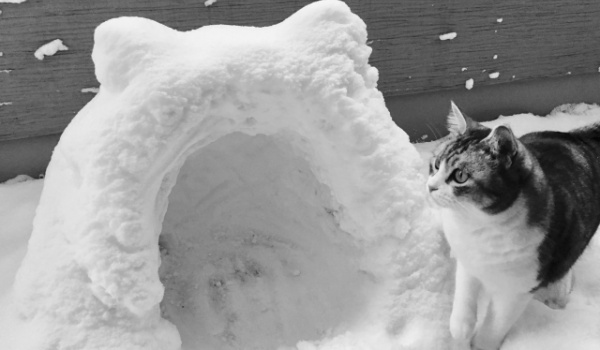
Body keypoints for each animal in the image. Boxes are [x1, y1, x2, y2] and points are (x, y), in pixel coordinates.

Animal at [426, 102, 600, 350]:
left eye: (460, 175)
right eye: (436, 164)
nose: (430, 186)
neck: (479, 225)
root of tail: (582, 137)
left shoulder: (518, 288)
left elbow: (494, 327)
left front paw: (480, 344)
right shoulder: (468, 257)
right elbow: (464, 291)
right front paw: (460, 328)